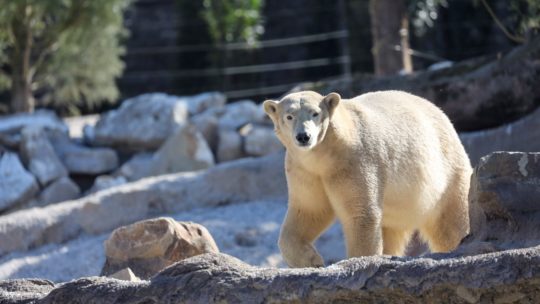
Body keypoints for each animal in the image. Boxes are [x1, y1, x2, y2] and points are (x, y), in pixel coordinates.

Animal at [264, 91, 472, 268]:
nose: (303, 136)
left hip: (446, 170)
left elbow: (361, 213)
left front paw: (358, 261)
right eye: (289, 116)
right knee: (392, 230)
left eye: (315, 113)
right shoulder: (304, 170)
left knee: (451, 220)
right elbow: (309, 210)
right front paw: (312, 260)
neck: (325, 154)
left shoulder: (354, 161)